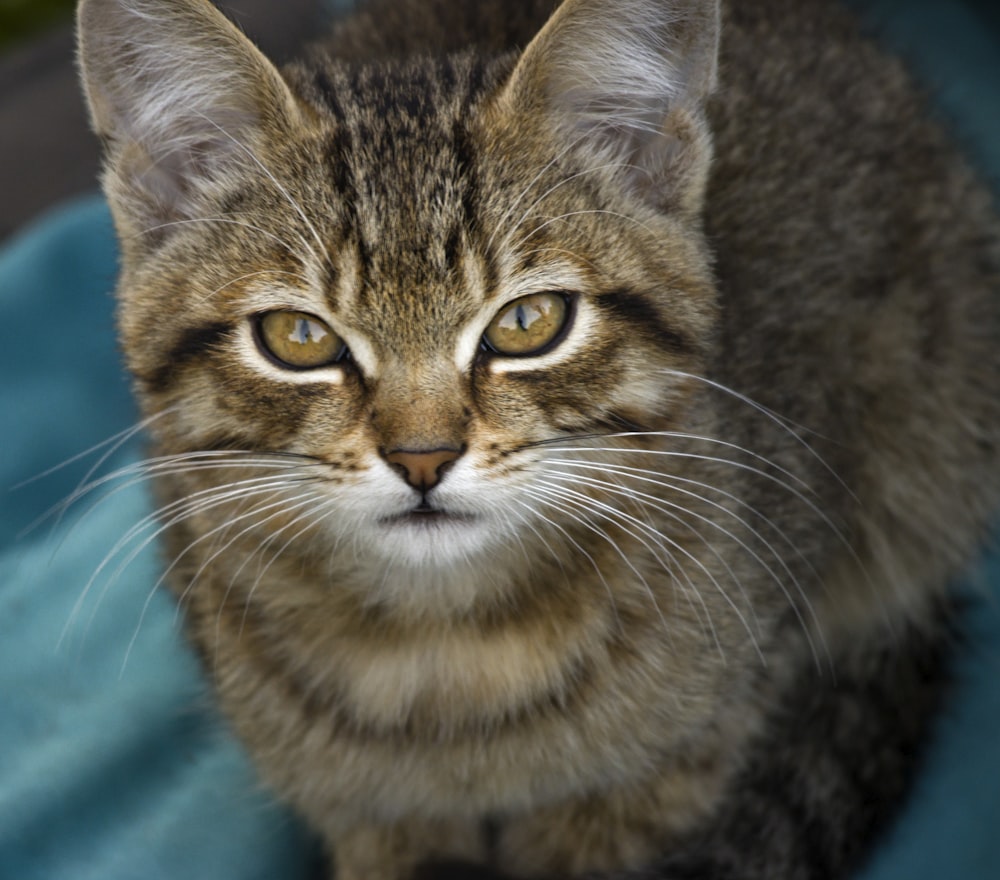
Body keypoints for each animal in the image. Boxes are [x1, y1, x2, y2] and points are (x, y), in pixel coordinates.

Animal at [76, 0, 1000, 876]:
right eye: (297, 337)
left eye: (528, 322)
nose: (422, 457)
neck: (445, 654)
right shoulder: (366, 813)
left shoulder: (678, 766)